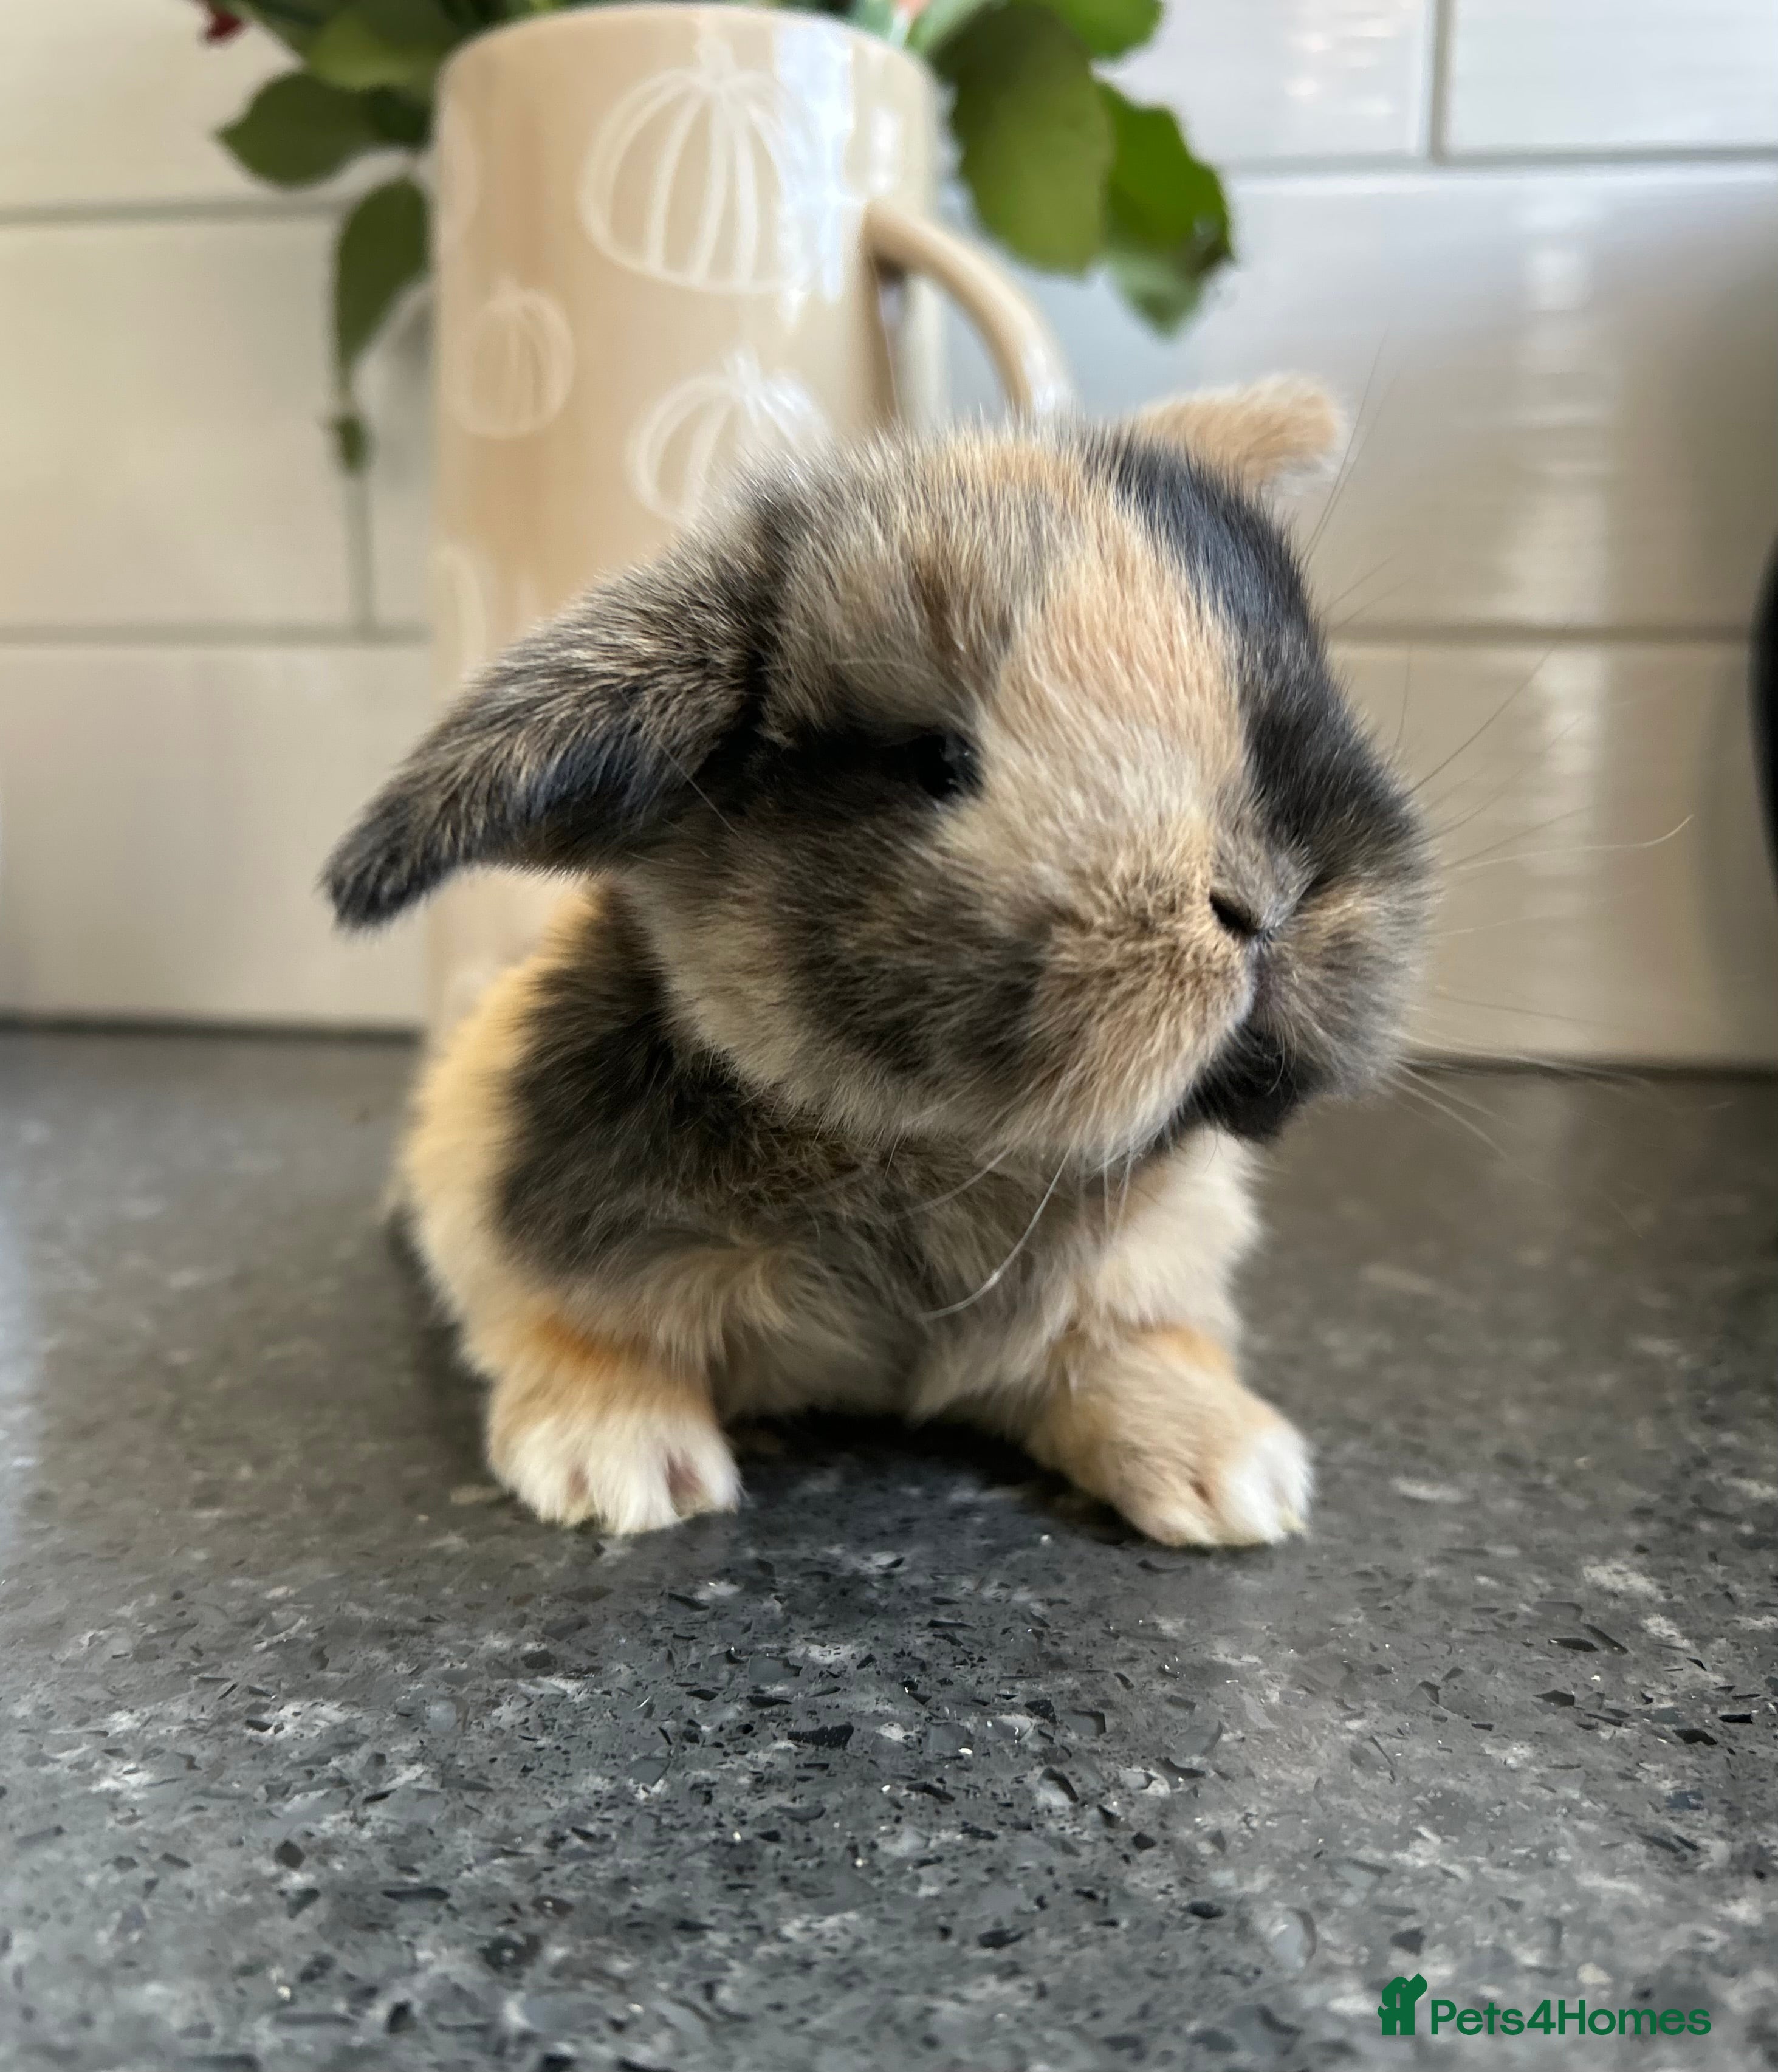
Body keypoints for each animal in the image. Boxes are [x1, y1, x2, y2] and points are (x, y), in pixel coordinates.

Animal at [324, 378, 1429, 1546]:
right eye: (934, 761)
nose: (1266, 901)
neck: (929, 1153)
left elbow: (1131, 1346)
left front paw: (1237, 1479)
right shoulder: (527, 1214)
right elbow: (584, 1331)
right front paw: (621, 1469)